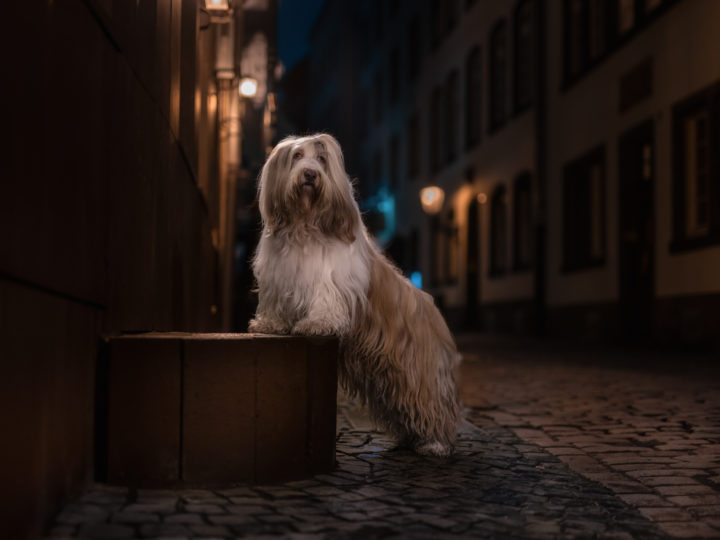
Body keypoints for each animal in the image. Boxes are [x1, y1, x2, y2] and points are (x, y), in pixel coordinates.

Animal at [248, 133, 462, 454]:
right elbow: (276, 307)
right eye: (297, 156)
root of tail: (433, 310)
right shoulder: (280, 279)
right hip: (387, 376)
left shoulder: (330, 283)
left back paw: (434, 443)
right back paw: (409, 438)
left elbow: (324, 304)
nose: (310, 174)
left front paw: (317, 324)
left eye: (322, 159)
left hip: (418, 374)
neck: (306, 223)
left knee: (432, 407)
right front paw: (270, 325)